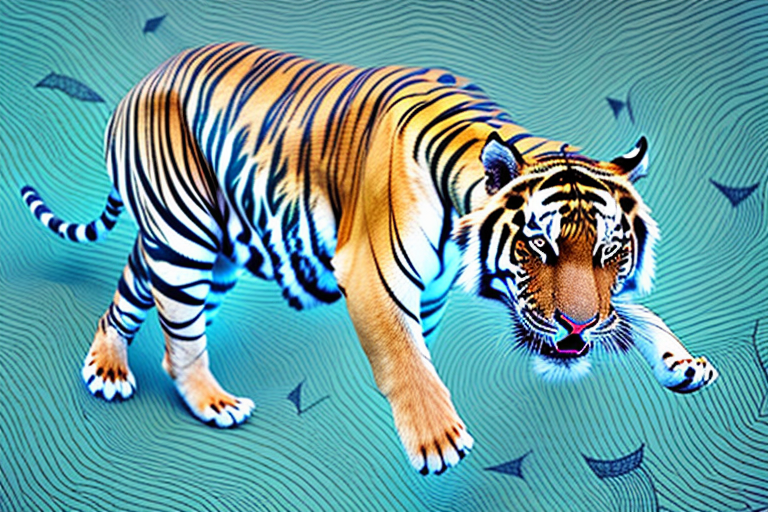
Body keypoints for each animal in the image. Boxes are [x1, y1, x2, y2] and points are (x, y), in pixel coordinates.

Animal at [21, 42, 718, 475]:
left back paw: (110, 366)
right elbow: (406, 359)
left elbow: (632, 312)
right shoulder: (373, 277)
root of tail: (140, 82)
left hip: (206, 247)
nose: (577, 326)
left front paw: (683, 363)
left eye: (611, 252)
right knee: (181, 336)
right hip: (187, 237)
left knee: (137, 294)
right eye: (538, 246)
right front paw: (437, 439)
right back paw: (207, 400)